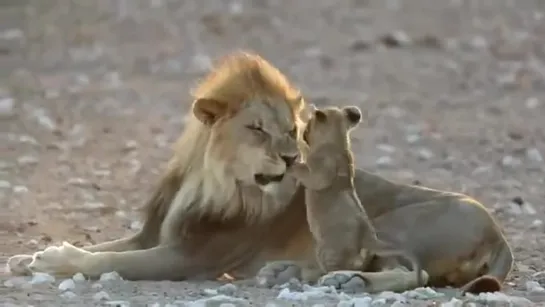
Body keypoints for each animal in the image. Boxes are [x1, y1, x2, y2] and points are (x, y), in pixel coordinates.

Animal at [6, 51, 512, 294]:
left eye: (291, 131)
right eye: (256, 129)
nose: (290, 160)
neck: (208, 180)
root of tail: (501, 236)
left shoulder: (193, 256)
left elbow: (110, 261)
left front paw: (54, 261)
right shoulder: (155, 234)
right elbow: (108, 247)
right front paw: (27, 256)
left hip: (394, 223)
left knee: (413, 273)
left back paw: (348, 281)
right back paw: (291, 272)